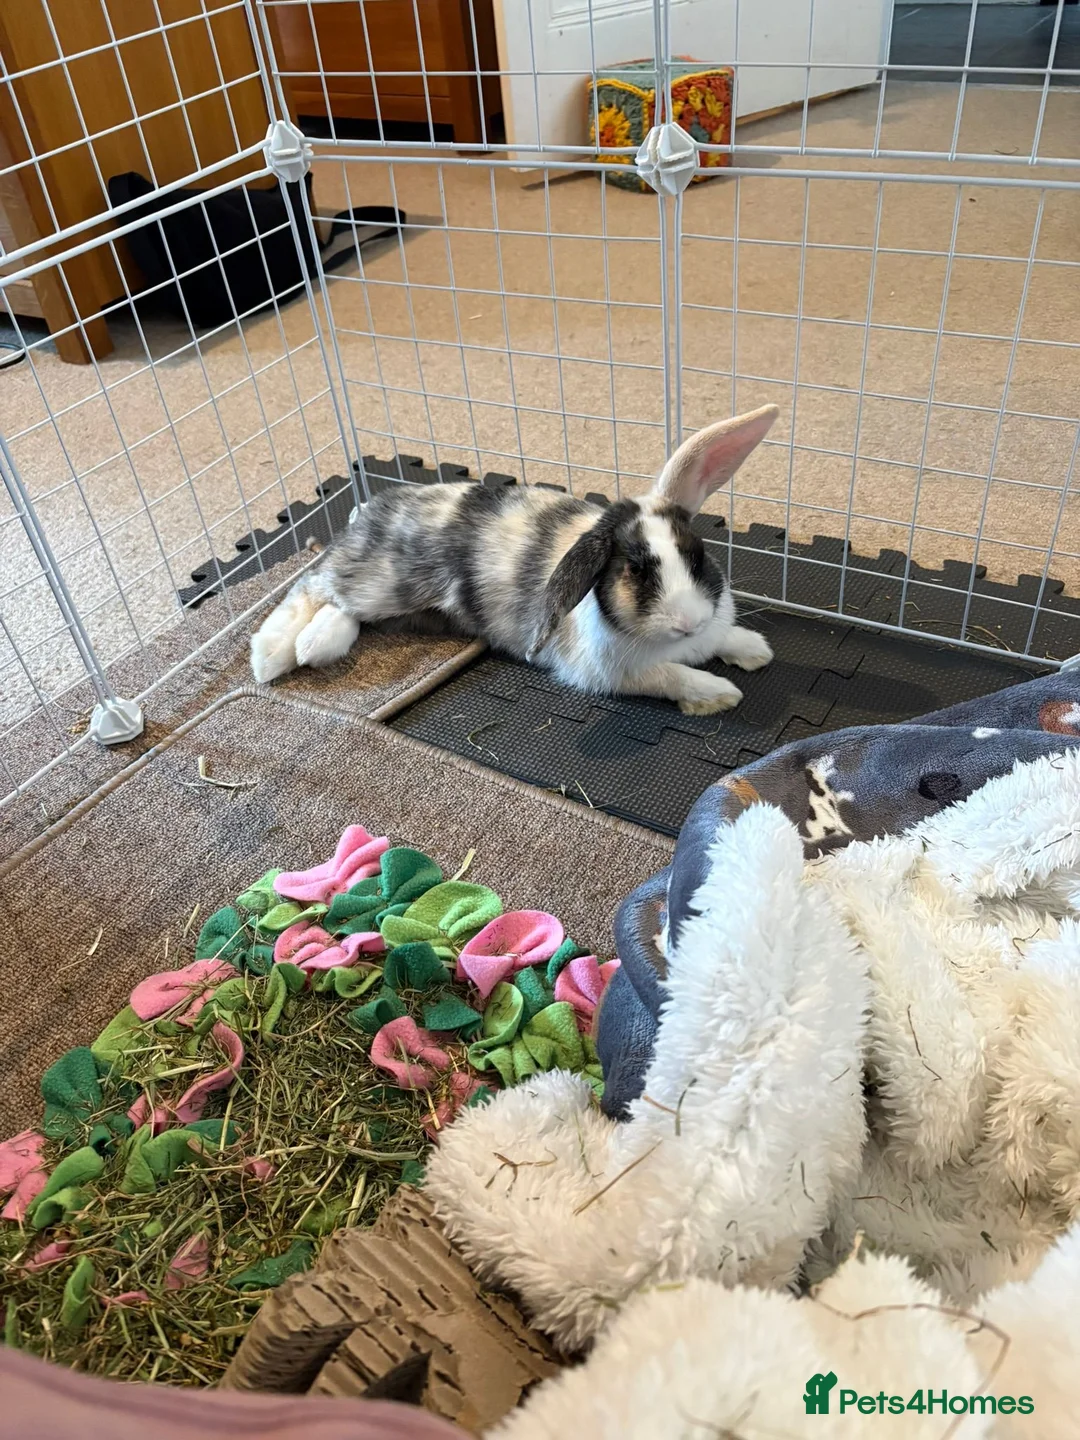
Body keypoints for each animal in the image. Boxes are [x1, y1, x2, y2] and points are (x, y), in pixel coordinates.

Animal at [250, 404, 779, 715]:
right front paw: (720, 693)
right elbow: (672, 676)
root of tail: (369, 506)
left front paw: (754, 649)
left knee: (340, 606)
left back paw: (314, 646)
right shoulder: (616, 674)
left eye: (698, 554)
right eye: (635, 569)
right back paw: (272, 655)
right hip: (384, 582)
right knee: (313, 585)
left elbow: (721, 638)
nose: (688, 622)